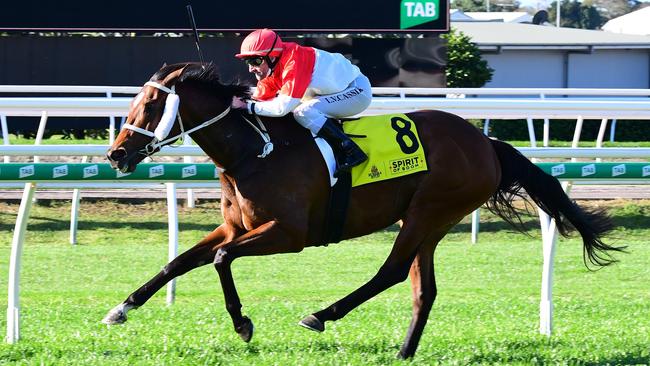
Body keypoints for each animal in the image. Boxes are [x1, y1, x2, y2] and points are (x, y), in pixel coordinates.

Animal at [104, 62, 620, 358]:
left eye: (151, 104)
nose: (115, 154)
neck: (256, 149)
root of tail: (485, 142)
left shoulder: (289, 234)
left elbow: (219, 259)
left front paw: (243, 324)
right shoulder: (235, 225)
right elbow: (178, 262)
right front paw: (121, 308)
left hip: (429, 210)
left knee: (391, 271)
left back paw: (321, 314)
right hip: (431, 220)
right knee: (423, 288)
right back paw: (404, 352)